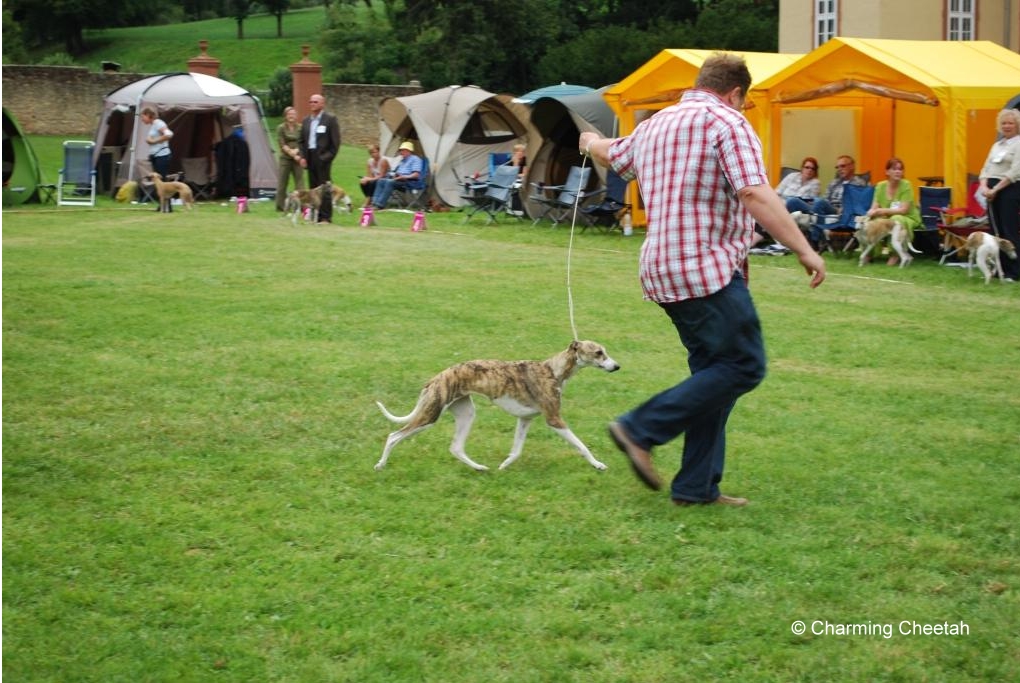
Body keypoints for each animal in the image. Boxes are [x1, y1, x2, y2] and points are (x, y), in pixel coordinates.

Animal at [371, 340, 616, 473]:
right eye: (598, 353)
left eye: (605, 351)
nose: (617, 366)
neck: (553, 370)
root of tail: (435, 378)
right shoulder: (554, 419)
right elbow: (581, 446)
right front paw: (598, 464)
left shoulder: (525, 419)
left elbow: (516, 451)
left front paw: (504, 465)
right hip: (430, 415)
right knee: (393, 436)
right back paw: (381, 465)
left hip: (466, 413)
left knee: (456, 447)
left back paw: (479, 468)